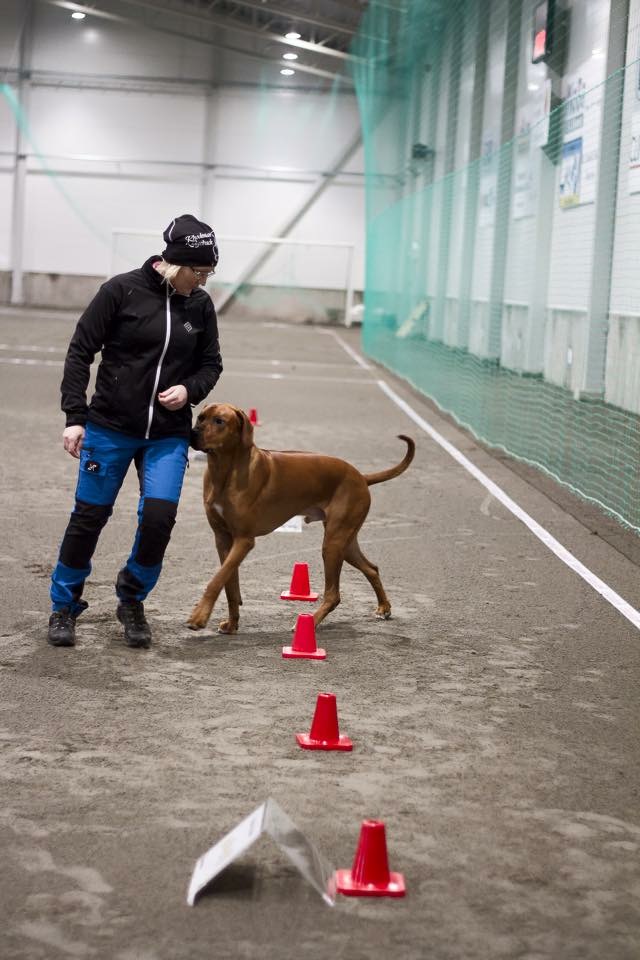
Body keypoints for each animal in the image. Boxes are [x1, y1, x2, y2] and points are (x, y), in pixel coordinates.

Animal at [186, 402, 416, 632]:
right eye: (200, 417)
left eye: (219, 421)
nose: (192, 433)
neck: (225, 470)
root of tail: (361, 476)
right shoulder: (223, 539)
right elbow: (229, 584)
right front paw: (232, 623)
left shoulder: (244, 540)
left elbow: (216, 580)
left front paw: (199, 616)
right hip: (346, 542)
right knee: (372, 569)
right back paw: (384, 607)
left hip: (333, 543)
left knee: (334, 594)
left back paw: (310, 621)